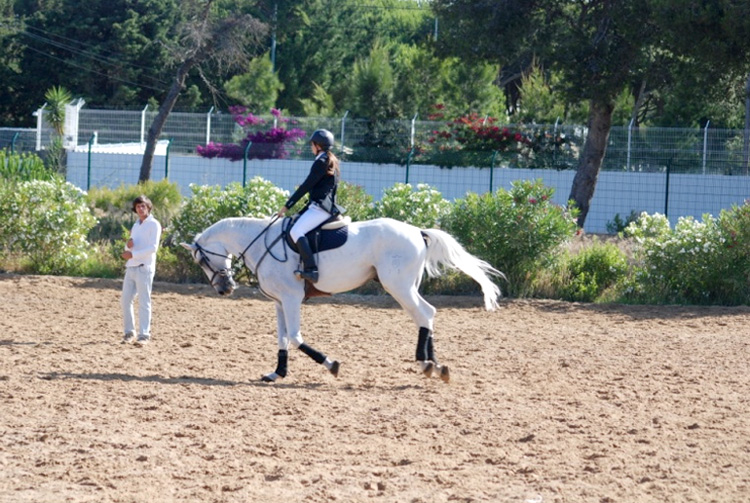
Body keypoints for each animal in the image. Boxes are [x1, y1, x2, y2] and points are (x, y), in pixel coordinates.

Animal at [179, 215, 502, 384]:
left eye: (201, 260)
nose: (225, 289)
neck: (261, 243)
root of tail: (417, 231)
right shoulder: (279, 301)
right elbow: (282, 339)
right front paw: (278, 372)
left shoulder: (292, 298)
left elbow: (295, 337)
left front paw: (331, 364)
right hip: (405, 286)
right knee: (426, 315)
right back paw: (434, 365)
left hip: (398, 286)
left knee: (424, 314)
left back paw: (426, 364)